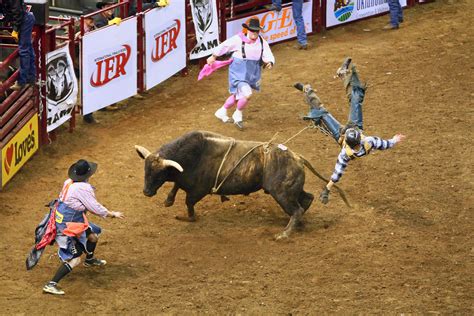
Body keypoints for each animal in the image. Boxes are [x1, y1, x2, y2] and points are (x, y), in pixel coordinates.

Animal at [135, 130, 346, 238]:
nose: (146, 192)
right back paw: (298, 224)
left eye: (159, 173)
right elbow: (177, 186)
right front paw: (169, 200)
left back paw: (284, 234)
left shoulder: (199, 190)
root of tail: (298, 157)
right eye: (146, 170)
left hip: (282, 194)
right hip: (292, 189)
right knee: (307, 199)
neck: (191, 156)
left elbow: (189, 202)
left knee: (297, 209)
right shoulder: (184, 180)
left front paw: (189, 217)